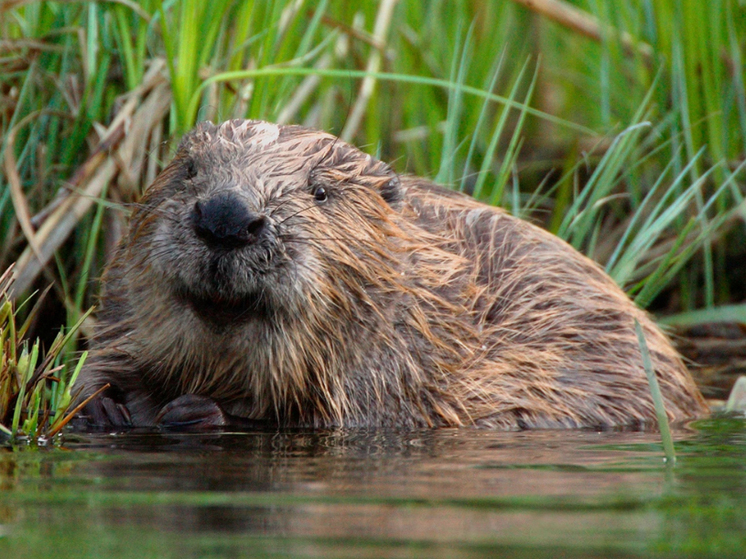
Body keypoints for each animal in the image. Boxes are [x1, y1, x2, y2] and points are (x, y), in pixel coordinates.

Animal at [74, 120, 704, 430]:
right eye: (189, 168)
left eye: (320, 191)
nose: (227, 217)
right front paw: (100, 405)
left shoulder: (400, 363)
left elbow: (319, 419)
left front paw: (194, 412)